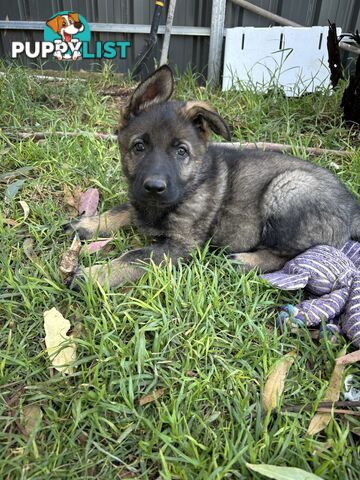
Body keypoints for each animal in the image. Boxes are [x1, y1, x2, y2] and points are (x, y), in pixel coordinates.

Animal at [69, 64, 358, 288]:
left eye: (181, 151)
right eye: (139, 147)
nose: (154, 186)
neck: (190, 187)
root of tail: (352, 207)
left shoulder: (180, 246)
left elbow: (135, 255)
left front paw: (94, 275)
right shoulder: (141, 199)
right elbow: (123, 209)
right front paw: (90, 224)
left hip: (288, 187)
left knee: (291, 255)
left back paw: (245, 261)